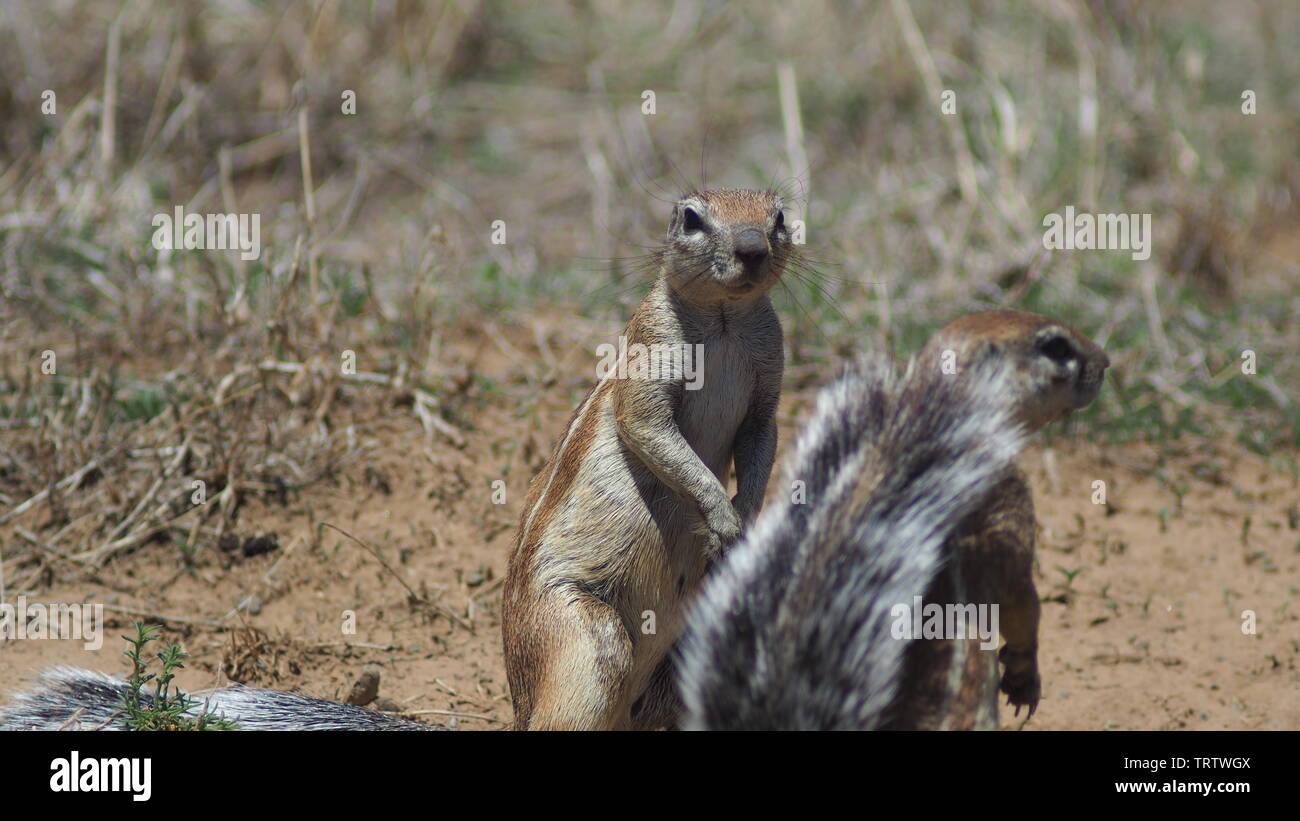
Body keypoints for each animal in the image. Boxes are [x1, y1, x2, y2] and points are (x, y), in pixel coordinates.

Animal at [504, 187, 790, 732]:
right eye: (691, 218)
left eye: (780, 217)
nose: (752, 248)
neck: (725, 319)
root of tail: (521, 699)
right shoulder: (650, 352)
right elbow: (649, 426)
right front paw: (722, 517)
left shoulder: (768, 389)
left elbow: (763, 443)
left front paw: (745, 519)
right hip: (583, 638)